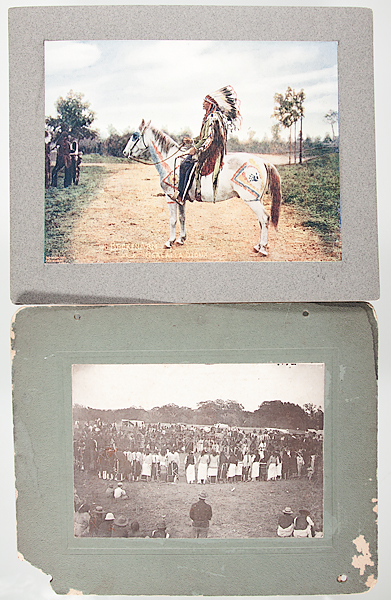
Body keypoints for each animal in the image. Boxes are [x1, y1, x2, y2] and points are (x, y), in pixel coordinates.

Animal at [122, 119, 282, 255]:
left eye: (135, 135)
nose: (124, 152)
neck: (171, 163)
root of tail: (262, 162)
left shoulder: (170, 198)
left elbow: (173, 220)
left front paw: (170, 241)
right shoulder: (181, 199)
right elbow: (182, 217)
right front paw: (181, 239)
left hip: (252, 200)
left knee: (264, 219)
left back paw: (262, 249)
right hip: (256, 200)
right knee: (261, 221)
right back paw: (258, 246)